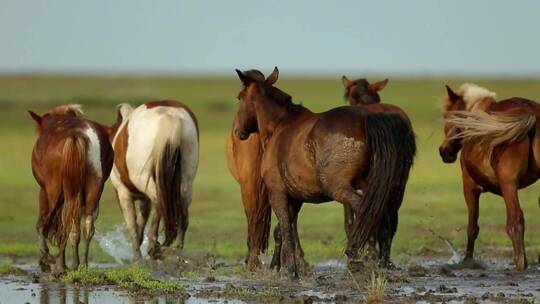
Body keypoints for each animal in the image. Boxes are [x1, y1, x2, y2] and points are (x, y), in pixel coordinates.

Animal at [29, 104, 113, 274]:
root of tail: (77, 134)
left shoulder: (44, 190)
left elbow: (42, 223)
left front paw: (45, 259)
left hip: (56, 190)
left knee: (62, 223)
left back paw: (60, 265)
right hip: (94, 187)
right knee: (86, 224)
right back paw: (81, 265)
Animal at [105, 100, 198, 262]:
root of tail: (170, 116)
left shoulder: (123, 194)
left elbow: (132, 225)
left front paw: (137, 257)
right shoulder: (144, 198)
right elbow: (141, 221)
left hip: (145, 182)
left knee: (159, 201)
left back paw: (153, 247)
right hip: (186, 182)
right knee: (183, 216)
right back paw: (176, 250)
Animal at [234, 67, 416, 278]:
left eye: (239, 97)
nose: (237, 130)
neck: (279, 125)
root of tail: (368, 119)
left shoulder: (277, 191)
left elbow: (286, 227)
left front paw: (289, 270)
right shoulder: (296, 197)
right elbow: (287, 229)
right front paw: (294, 266)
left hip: (339, 188)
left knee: (366, 210)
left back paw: (358, 255)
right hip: (383, 187)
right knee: (385, 215)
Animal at [438, 83, 540, 270]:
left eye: (448, 117)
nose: (444, 151)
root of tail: (531, 114)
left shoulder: (470, 187)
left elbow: (472, 227)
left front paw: (467, 261)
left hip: (508, 185)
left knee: (515, 222)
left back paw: (520, 263)